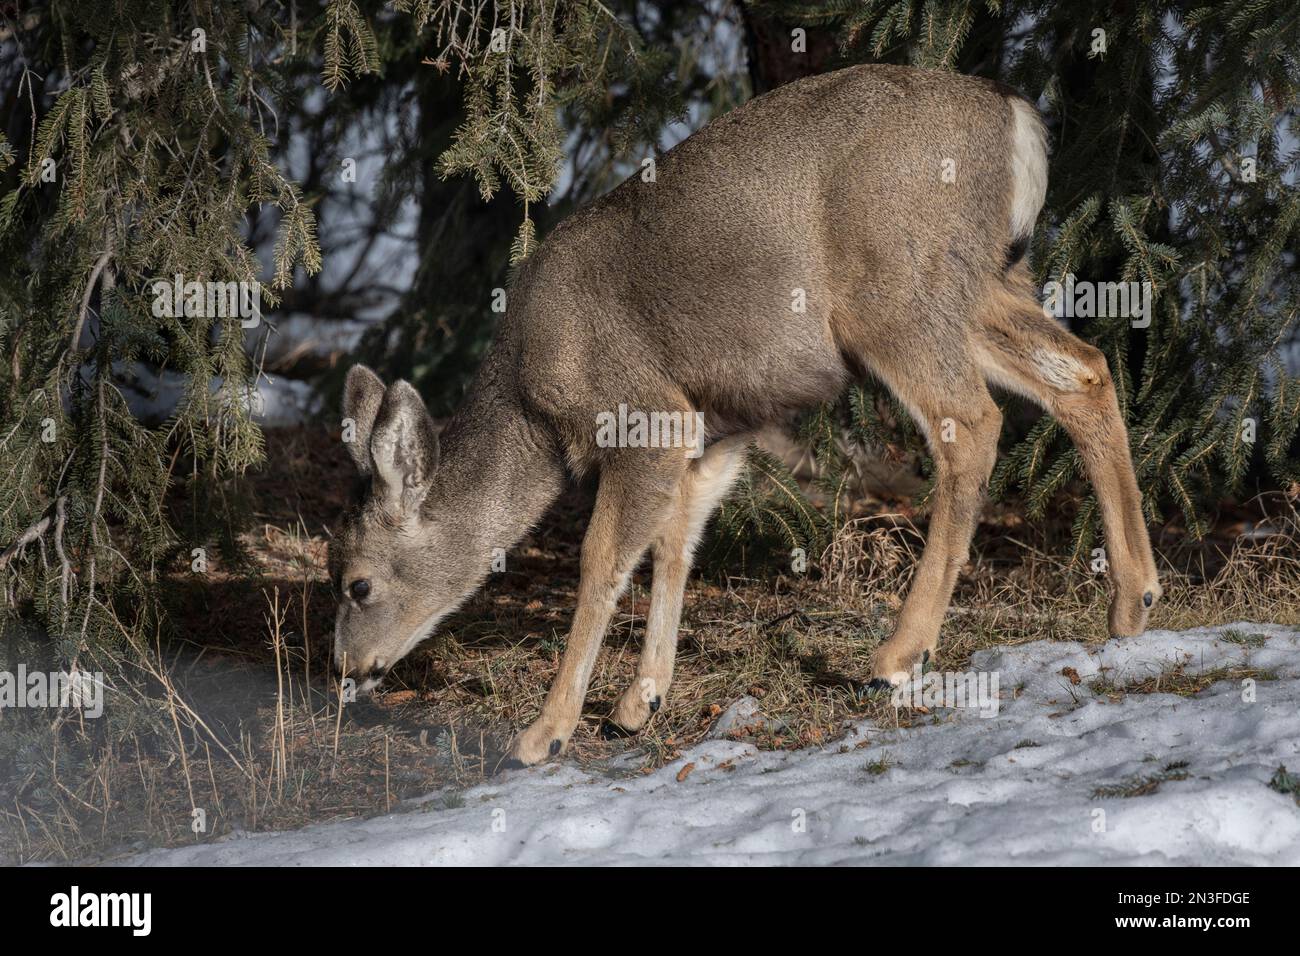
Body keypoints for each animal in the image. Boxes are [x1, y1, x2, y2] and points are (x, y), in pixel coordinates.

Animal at [330, 63, 1164, 770]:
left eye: (357, 585)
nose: (345, 669)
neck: (531, 404)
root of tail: (1015, 117)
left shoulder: (644, 411)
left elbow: (602, 558)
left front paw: (546, 733)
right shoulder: (713, 429)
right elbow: (676, 541)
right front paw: (639, 701)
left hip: (895, 290)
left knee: (972, 421)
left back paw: (899, 655)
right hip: (987, 283)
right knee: (1086, 370)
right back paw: (1132, 602)